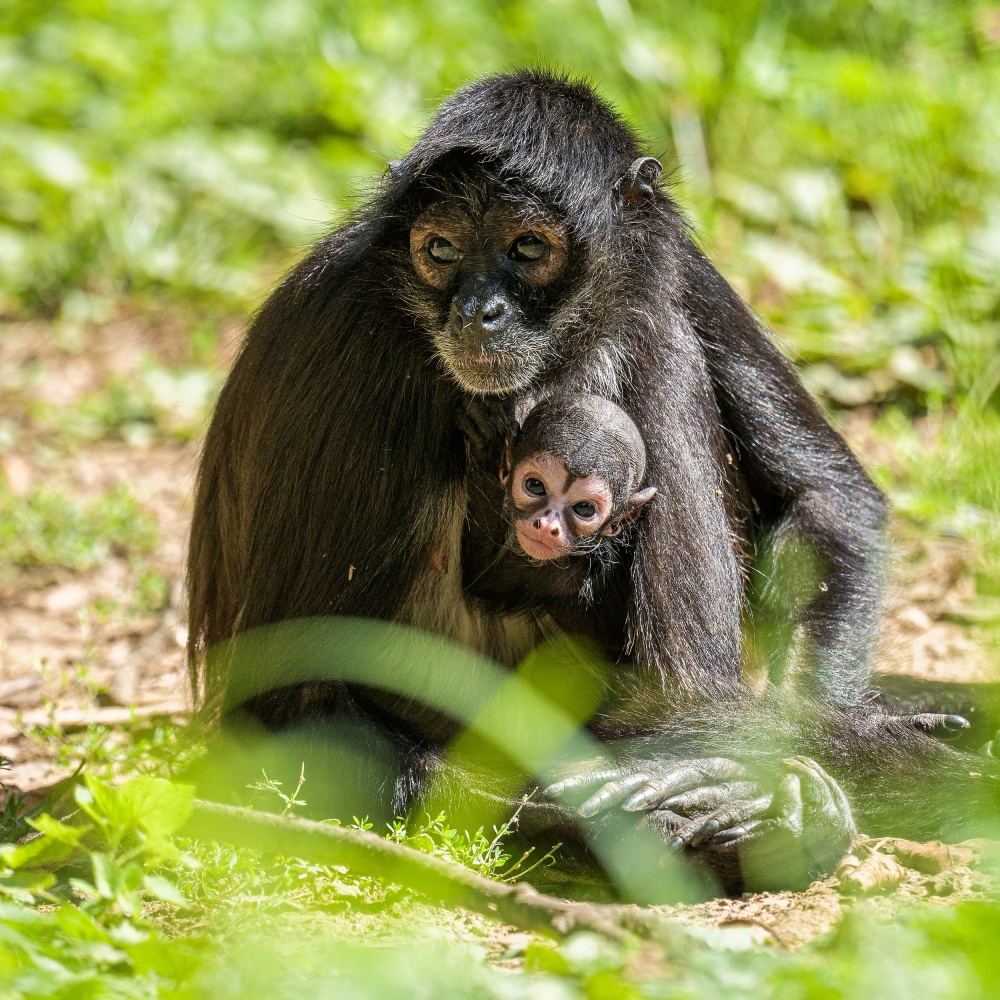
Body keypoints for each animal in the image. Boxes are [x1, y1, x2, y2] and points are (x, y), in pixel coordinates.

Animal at [189, 74, 1000, 896]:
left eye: (528, 248)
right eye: (441, 251)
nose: (478, 313)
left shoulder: (669, 255)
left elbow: (827, 497)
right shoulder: (344, 325)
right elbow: (291, 709)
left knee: (657, 332)